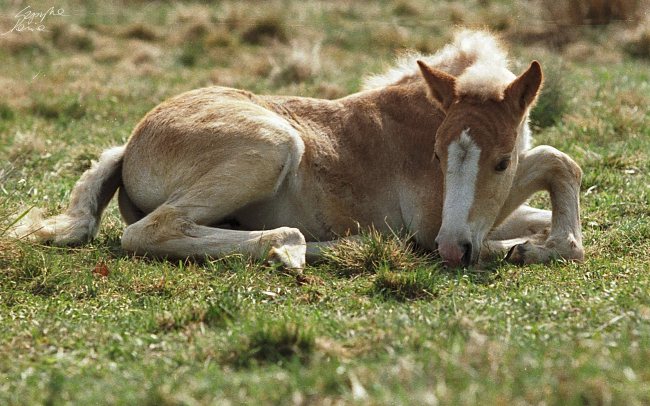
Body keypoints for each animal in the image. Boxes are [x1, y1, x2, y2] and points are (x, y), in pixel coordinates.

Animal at [12, 29, 584, 270]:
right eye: (438, 160)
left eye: (499, 161)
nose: (450, 251)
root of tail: (130, 143)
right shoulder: (432, 219)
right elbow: (558, 162)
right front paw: (547, 247)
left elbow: (537, 202)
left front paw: (539, 243)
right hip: (271, 144)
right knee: (149, 232)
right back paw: (289, 247)